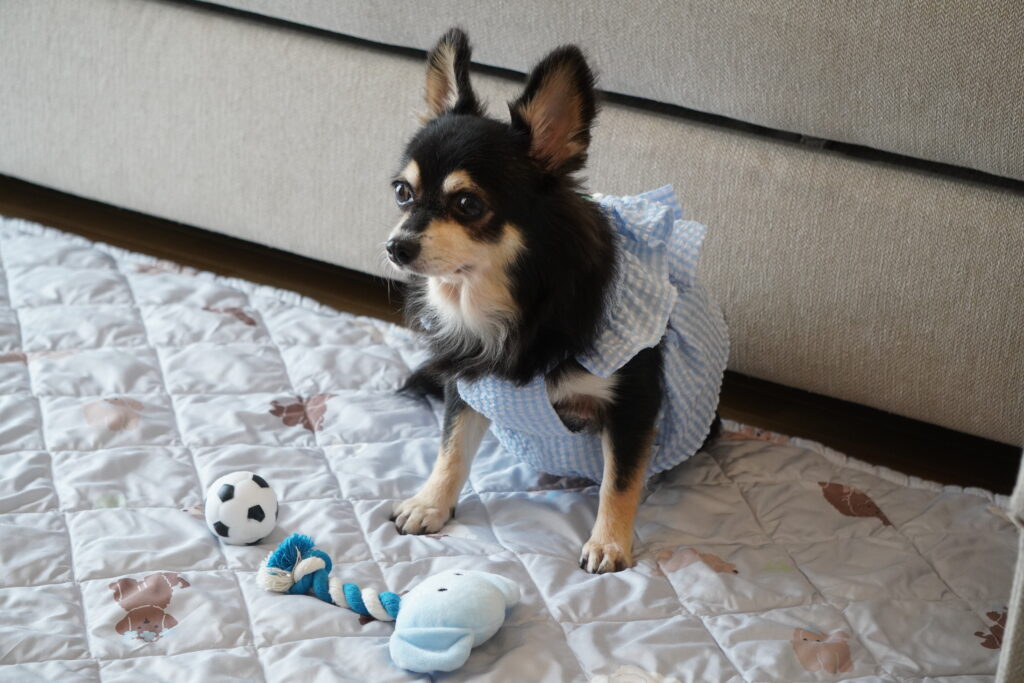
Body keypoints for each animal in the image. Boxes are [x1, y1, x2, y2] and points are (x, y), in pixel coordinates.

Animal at [385, 28, 726, 573]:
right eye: (402, 192)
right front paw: (431, 504)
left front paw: (609, 542)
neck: (506, 302)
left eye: (468, 204)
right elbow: (452, 447)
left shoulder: (635, 400)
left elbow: (620, 478)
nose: (397, 247)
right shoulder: (468, 379)